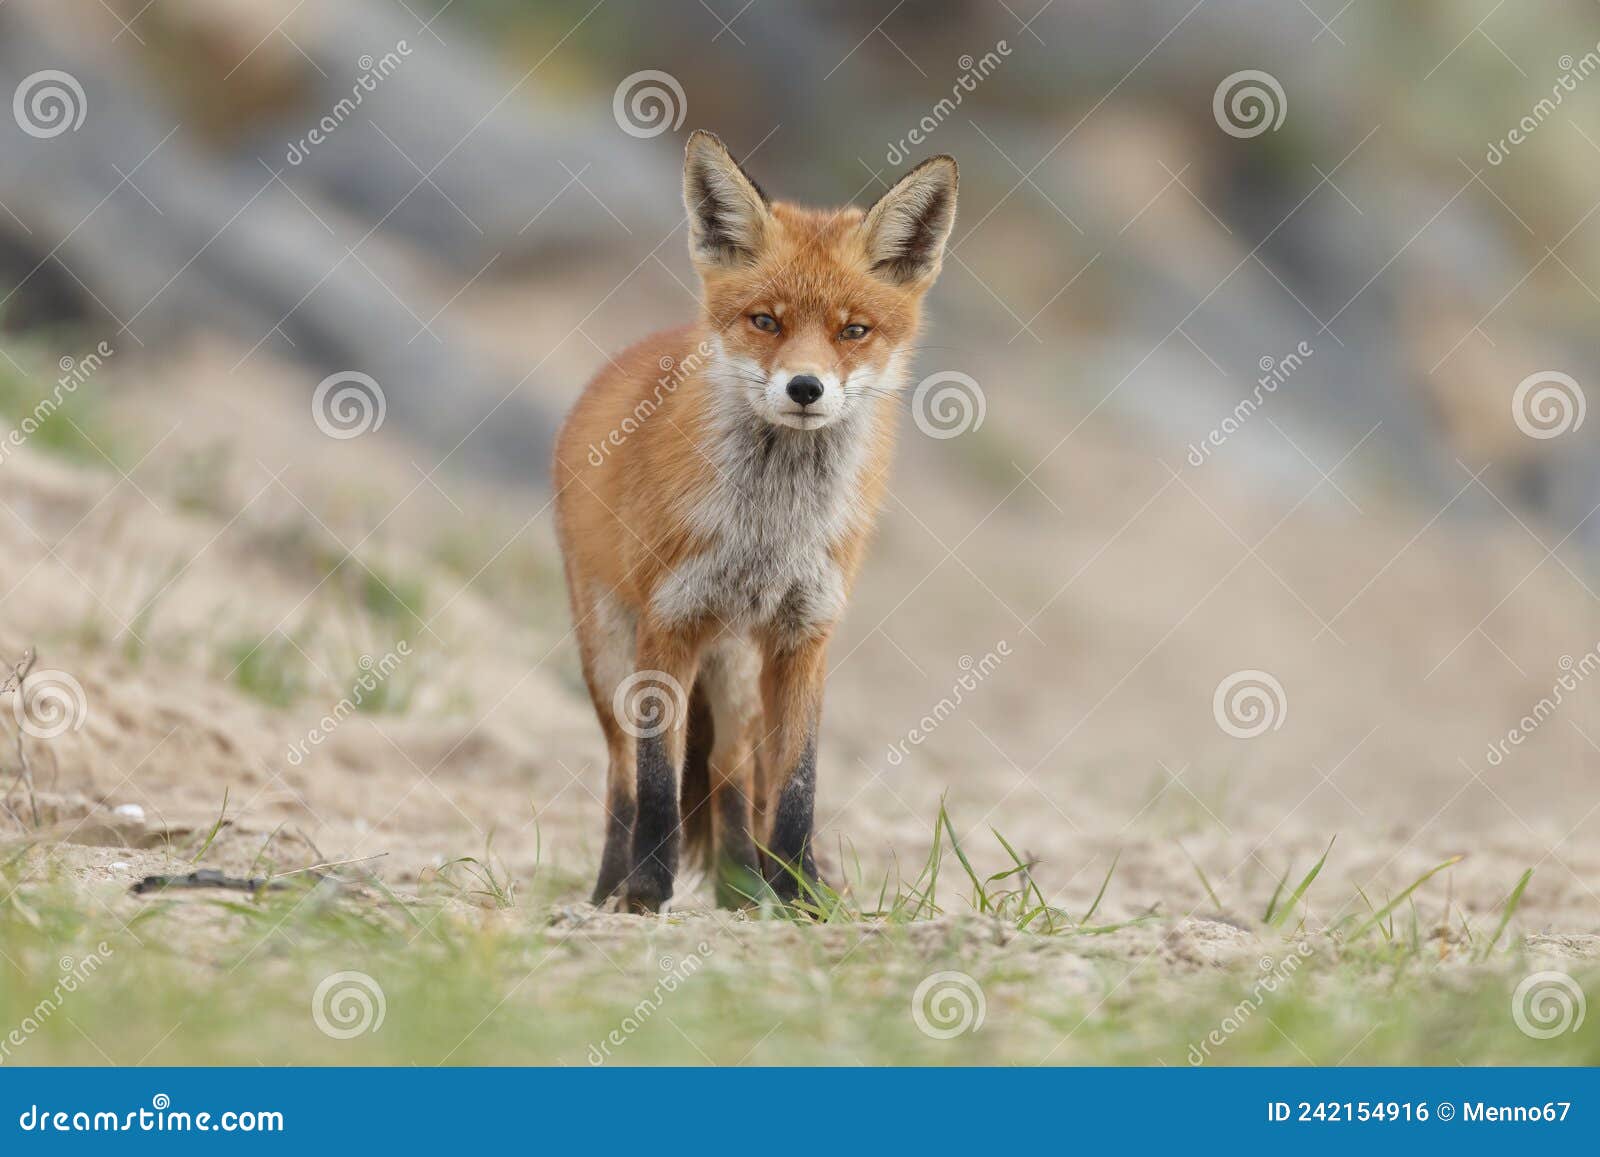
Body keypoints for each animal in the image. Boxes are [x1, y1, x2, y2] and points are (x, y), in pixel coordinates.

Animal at [553, 131, 947, 915]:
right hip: (610, 654)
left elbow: (796, 784)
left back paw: (744, 888)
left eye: (853, 330)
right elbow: (657, 783)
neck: (771, 527)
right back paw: (609, 890)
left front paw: (800, 895)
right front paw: (647, 891)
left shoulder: (805, 635)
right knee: (621, 773)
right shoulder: (668, 624)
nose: (805, 387)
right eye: (766, 320)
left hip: (734, 670)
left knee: (731, 773)